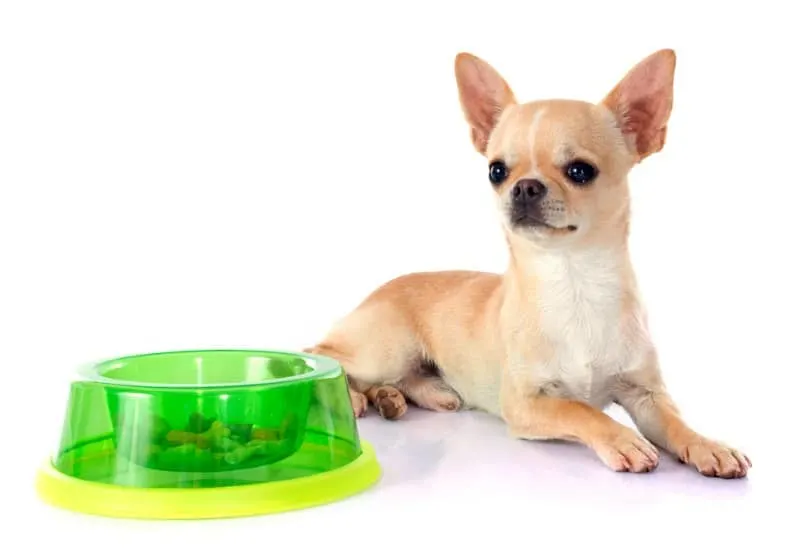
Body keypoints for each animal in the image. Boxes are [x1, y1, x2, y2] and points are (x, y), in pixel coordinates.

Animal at [306, 50, 752, 480]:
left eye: (580, 171)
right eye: (496, 171)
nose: (524, 186)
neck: (573, 281)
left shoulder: (646, 394)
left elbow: (676, 422)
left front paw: (709, 445)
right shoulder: (525, 403)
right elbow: (579, 409)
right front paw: (623, 439)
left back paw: (394, 396)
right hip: (386, 349)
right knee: (323, 355)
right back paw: (354, 397)